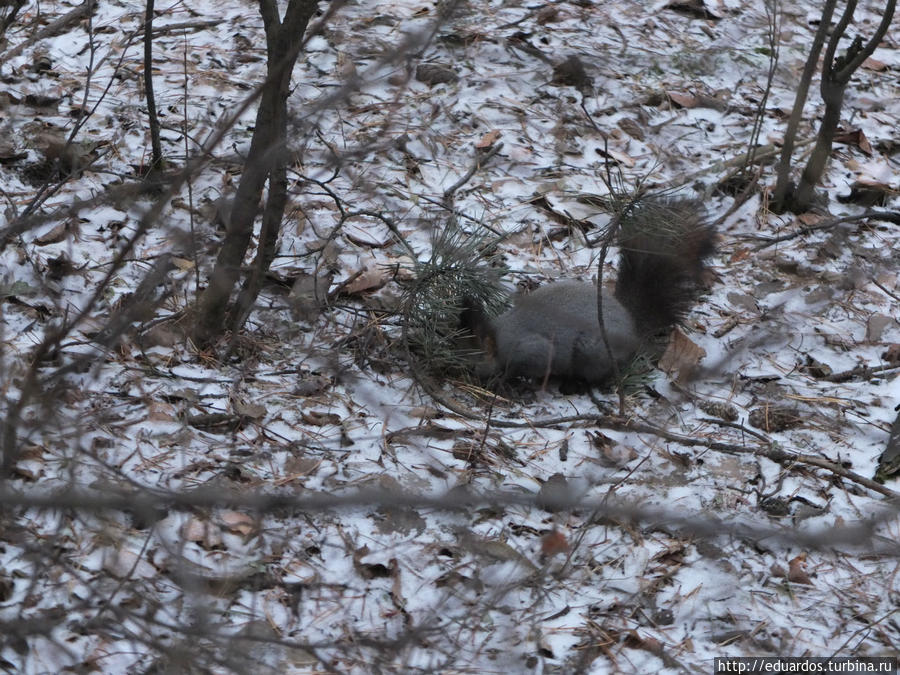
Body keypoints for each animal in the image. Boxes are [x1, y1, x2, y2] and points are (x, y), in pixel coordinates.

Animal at [460, 195, 712, 386]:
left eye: (474, 362)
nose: (464, 373)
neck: (499, 337)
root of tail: (632, 327)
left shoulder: (532, 351)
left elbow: (524, 367)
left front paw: (503, 381)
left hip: (591, 352)